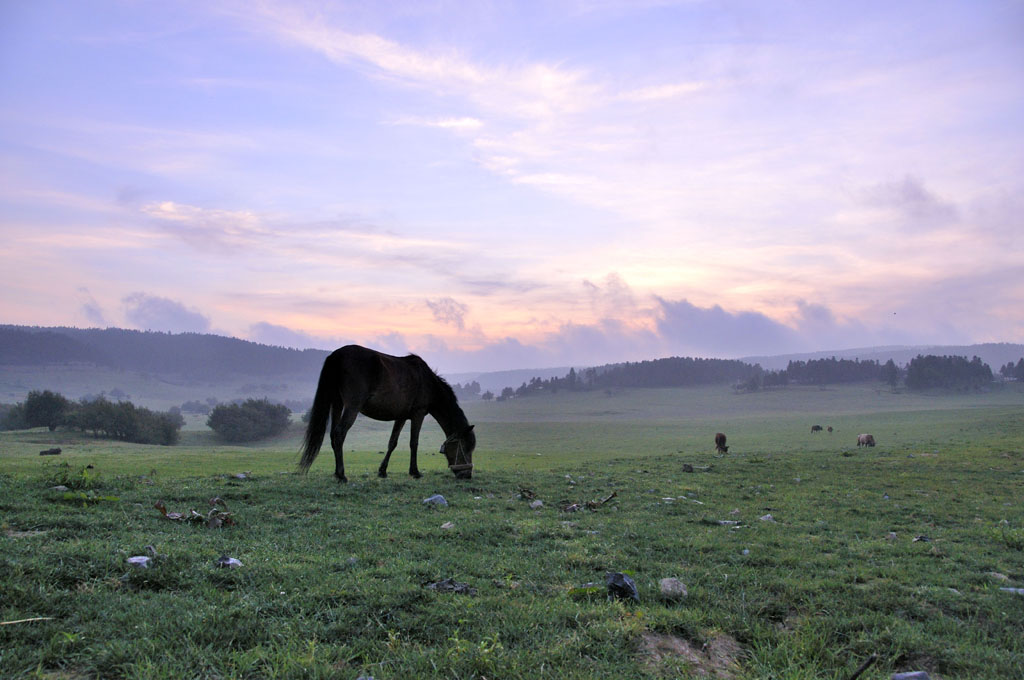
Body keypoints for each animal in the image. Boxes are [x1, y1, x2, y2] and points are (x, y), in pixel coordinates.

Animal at [296, 346, 475, 483]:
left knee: (333, 434)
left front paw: (382, 471)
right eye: (465, 448)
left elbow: (392, 443)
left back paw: (336, 473)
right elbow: (414, 443)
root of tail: (336, 355)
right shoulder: (418, 414)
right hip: (352, 407)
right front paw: (415, 472)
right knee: (339, 434)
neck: (428, 383)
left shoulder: (401, 417)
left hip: (337, 404)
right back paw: (341, 475)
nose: (466, 475)